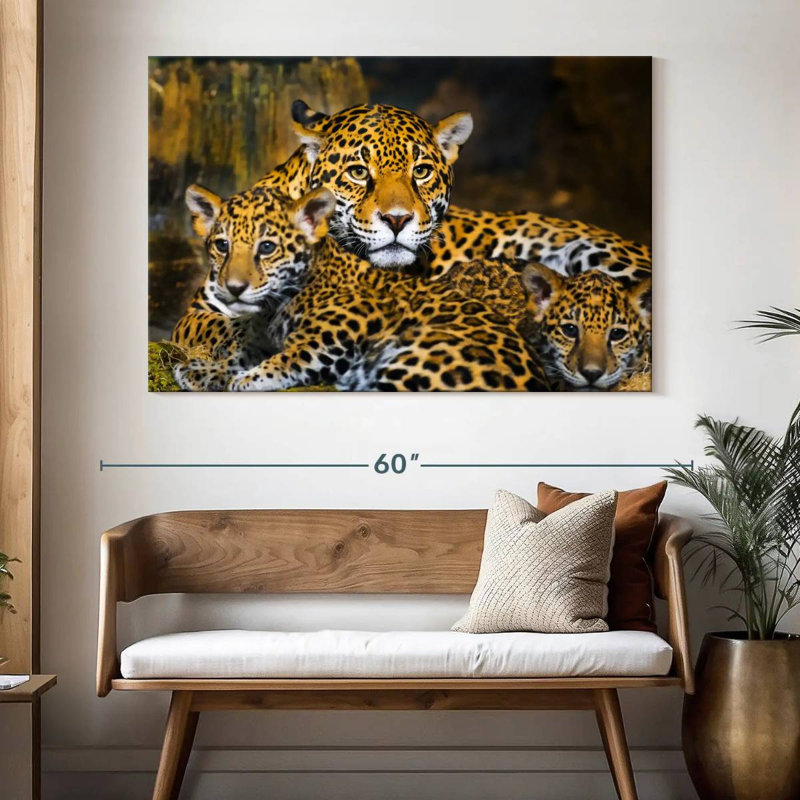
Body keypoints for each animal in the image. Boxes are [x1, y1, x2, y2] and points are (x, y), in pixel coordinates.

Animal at [176, 185, 549, 392]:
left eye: (266, 248)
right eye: (222, 245)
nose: (234, 288)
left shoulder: (336, 333)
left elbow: (290, 357)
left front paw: (249, 378)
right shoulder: (260, 338)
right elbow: (239, 353)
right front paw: (201, 371)